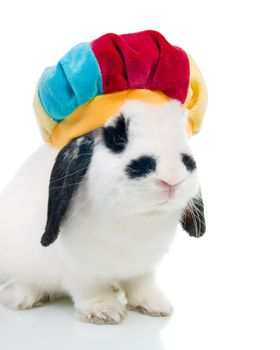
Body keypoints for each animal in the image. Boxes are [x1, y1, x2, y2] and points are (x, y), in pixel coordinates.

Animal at [0, 100, 206, 324]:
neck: (137, 219)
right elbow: (92, 290)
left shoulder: (143, 267)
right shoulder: (80, 270)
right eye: (117, 138)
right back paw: (24, 298)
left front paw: (155, 305)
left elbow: (142, 285)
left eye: (182, 134)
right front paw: (105, 312)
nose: (172, 177)